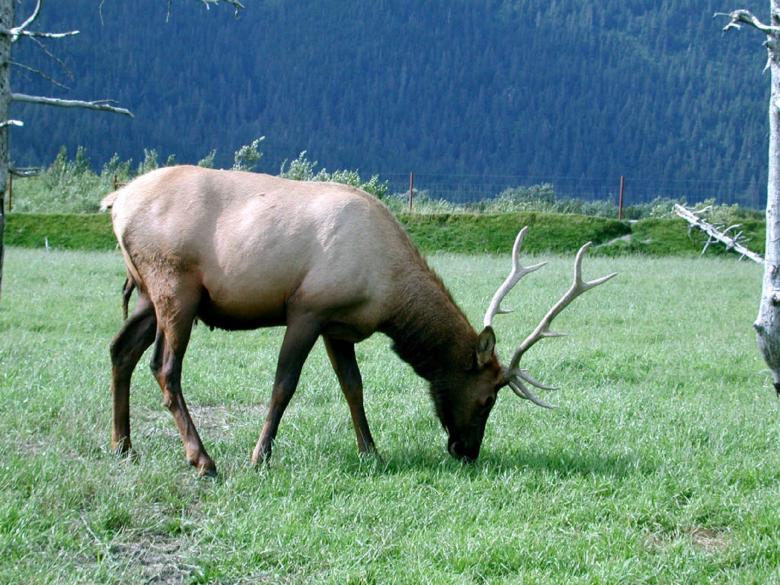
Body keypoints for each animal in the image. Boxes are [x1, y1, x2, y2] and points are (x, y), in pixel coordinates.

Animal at [103, 165, 615, 476]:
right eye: (488, 397)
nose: (467, 452)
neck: (386, 292)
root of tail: (115, 200)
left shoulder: (338, 326)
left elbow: (353, 386)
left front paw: (372, 450)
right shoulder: (308, 308)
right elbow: (284, 385)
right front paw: (259, 455)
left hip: (147, 291)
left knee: (120, 349)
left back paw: (123, 445)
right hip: (176, 285)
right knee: (165, 368)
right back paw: (203, 460)